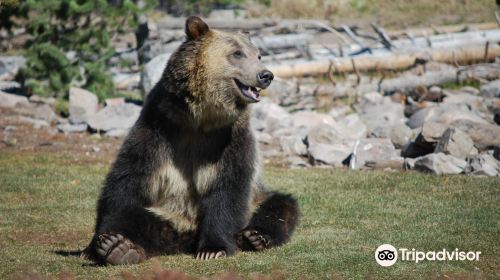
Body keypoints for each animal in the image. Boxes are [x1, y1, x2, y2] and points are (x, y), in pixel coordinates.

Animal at [82, 15, 298, 264]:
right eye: (237, 53)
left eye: (258, 54)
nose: (266, 75)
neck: (200, 118)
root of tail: (186, 237)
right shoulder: (159, 126)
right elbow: (126, 183)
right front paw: (99, 243)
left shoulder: (230, 138)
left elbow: (228, 188)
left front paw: (213, 249)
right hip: (167, 215)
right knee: (137, 216)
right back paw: (120, 247)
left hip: (257, 199)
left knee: (281, 206)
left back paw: (255, 237)